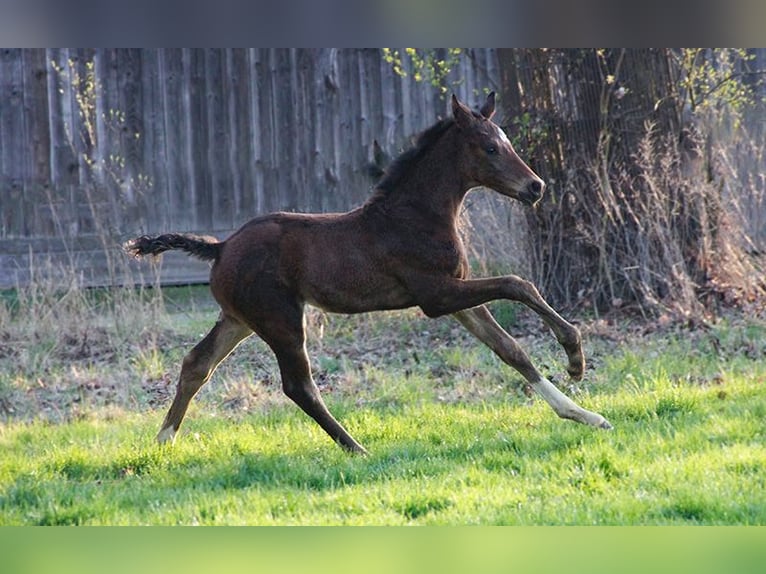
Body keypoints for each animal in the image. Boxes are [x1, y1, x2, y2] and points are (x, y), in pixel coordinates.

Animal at [129, 92, 616, 456]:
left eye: (507, 140)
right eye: (491, 147)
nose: (536, 187)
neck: (415, 215)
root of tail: (221, 246)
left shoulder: (459, 300)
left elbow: (511, 351)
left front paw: (585, 415)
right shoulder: (437, 296)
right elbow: (518, 284)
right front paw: (575, 358)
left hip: (239, 319)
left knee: (197, 364)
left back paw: (162, 442)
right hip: (280, 320)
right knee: (298, 386)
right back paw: (356, 448)